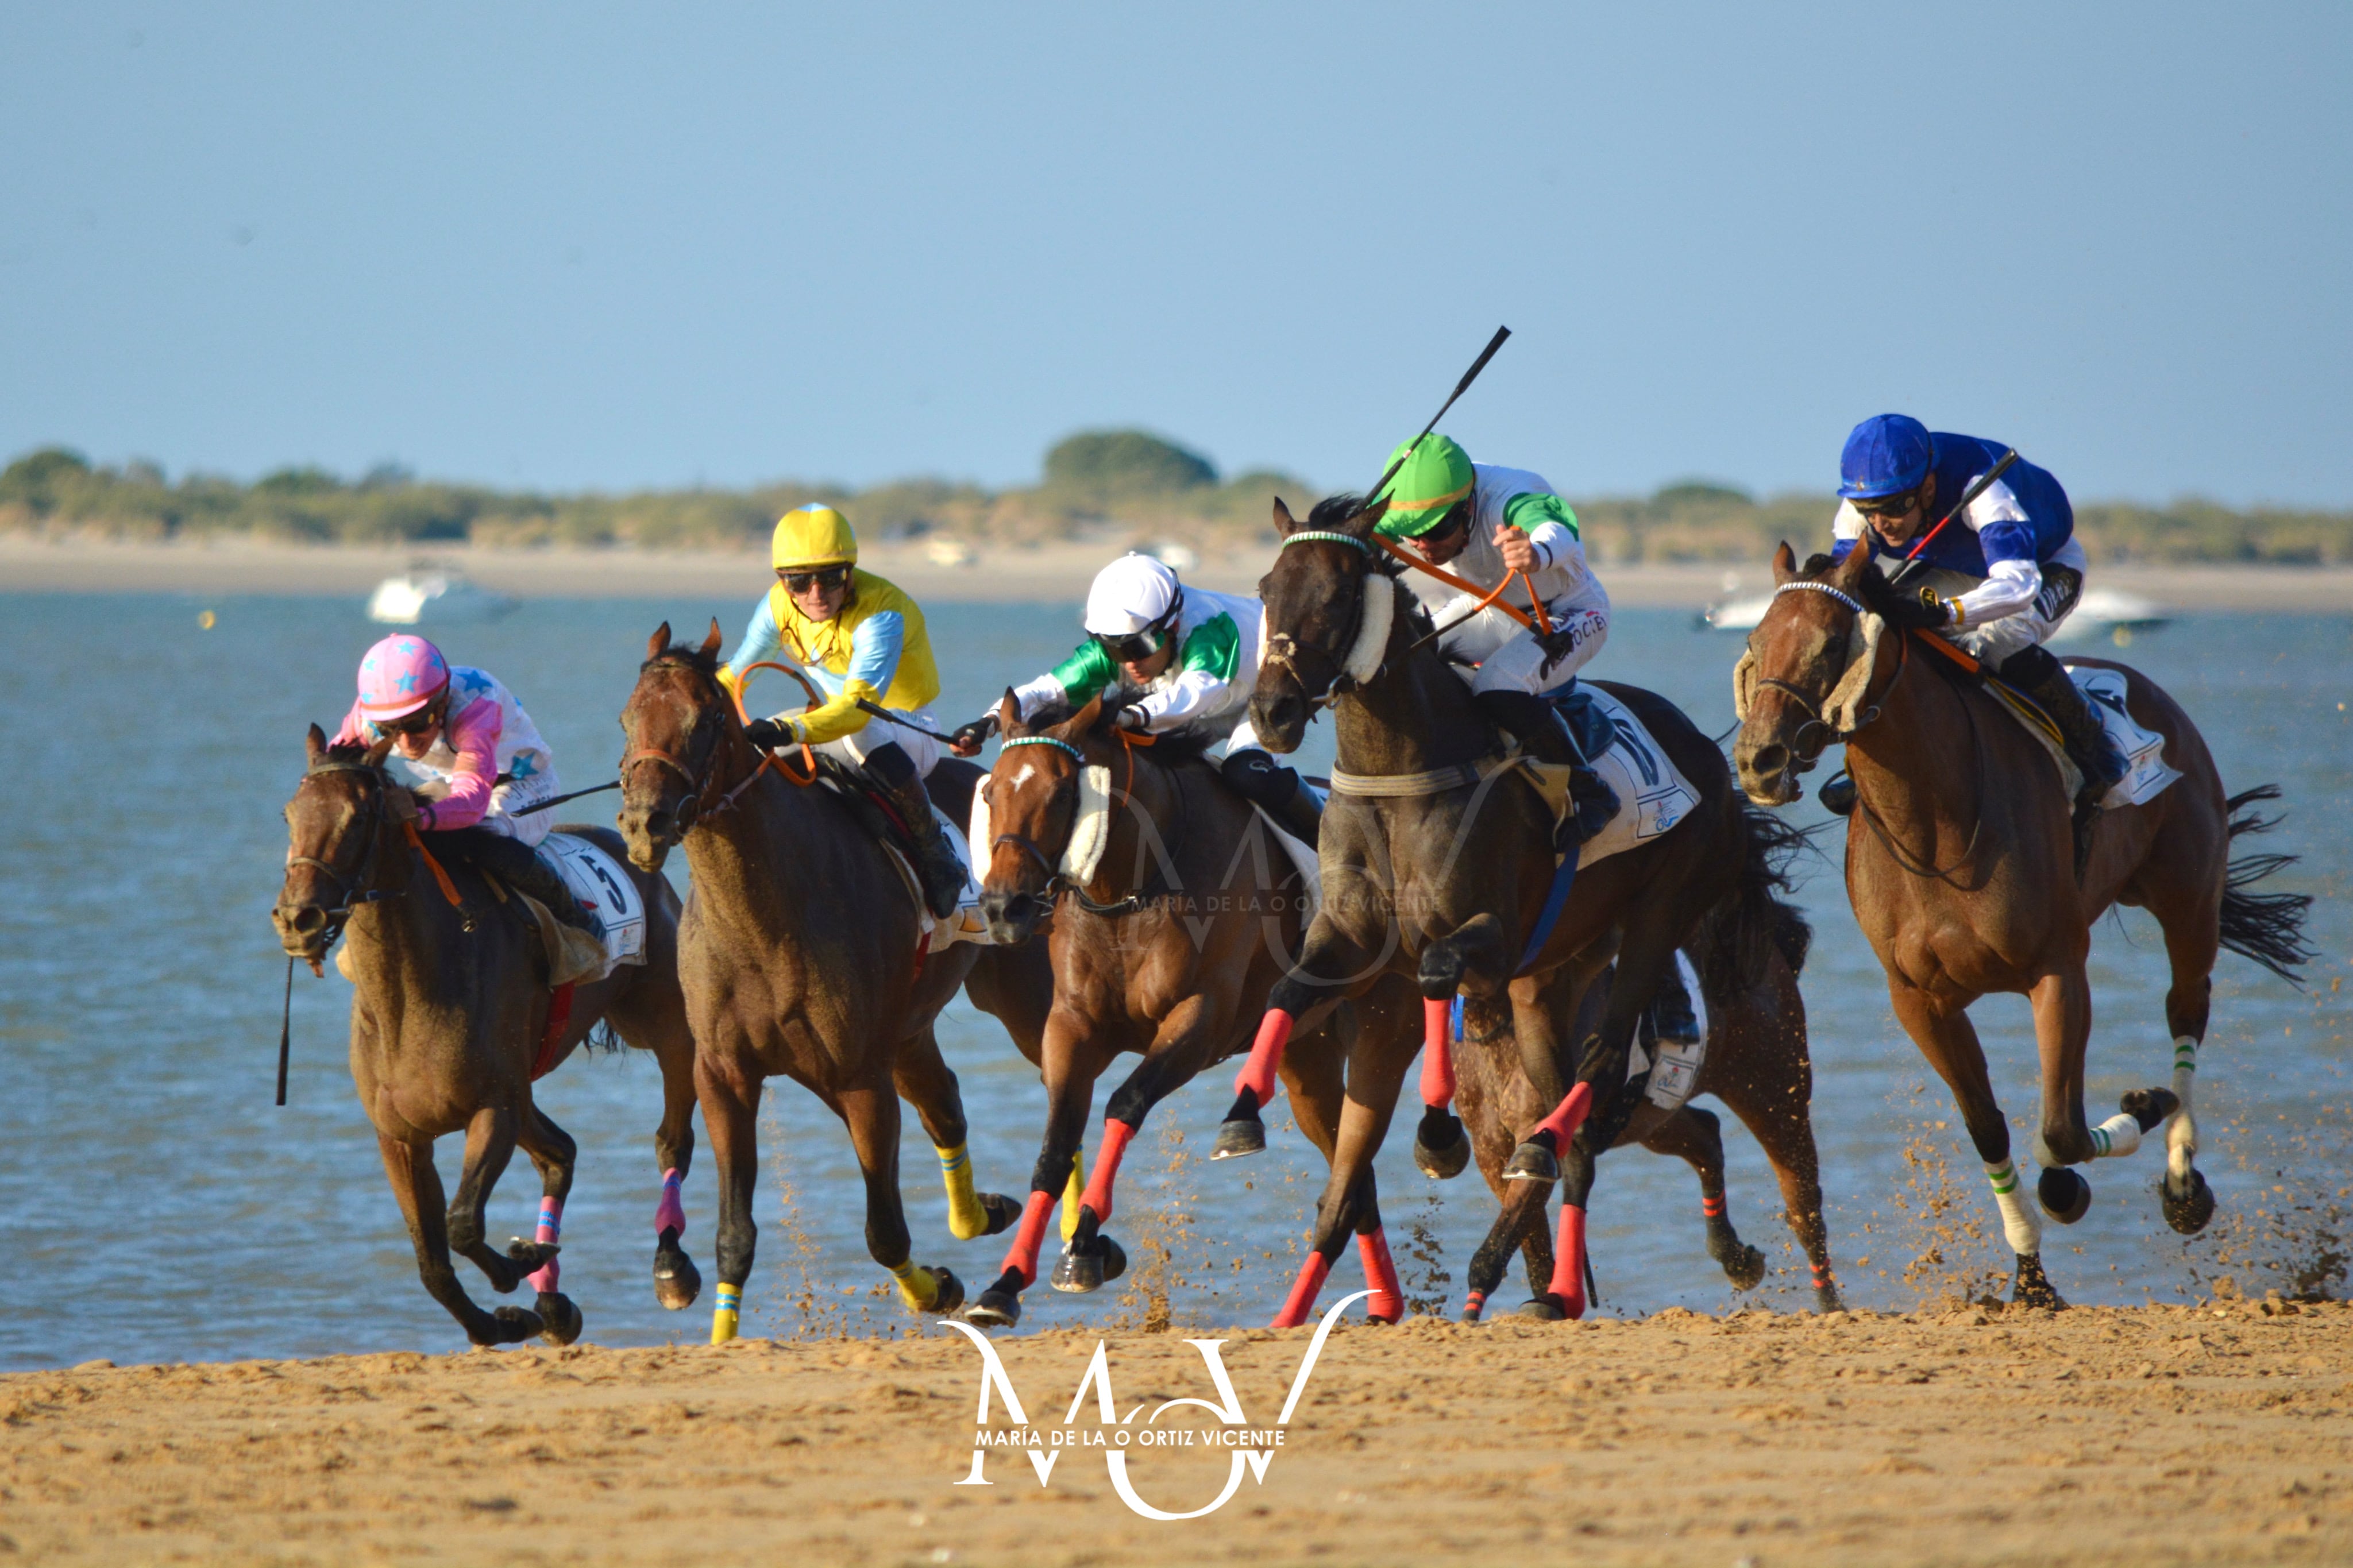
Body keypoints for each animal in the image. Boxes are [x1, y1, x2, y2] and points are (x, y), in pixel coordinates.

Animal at [272, 727, 703, 1346]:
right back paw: (552, 1303)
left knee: (672, 1138)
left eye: (356, 819)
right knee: (560, 1152)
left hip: (664, 1026)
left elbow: (461, 1224)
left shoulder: (492, 1107)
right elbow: (432, 1262)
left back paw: (669, 1266)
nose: (297, 919)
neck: (413, 993)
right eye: (290, 815)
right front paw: (503, 1318)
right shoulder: (401, 1137)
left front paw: (516, 1270)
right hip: (527, 1087)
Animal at [616, 621, 1030, 1339]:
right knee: (944, 1105)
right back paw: (981, 1213)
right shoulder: (723, 1072)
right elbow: (735, 1236)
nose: (645, 824)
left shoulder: (859, 1077)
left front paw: (936, 1288)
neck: (765, 921)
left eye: (705, 720)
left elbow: (885, 1232)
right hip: (908, 1032)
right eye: (626, 718)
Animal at [965, 692, 1425, 1328]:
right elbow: (1055, 1147)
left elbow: (1126, 1102)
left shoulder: (1200, 1018)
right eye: (991, 793)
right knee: (1355, 1179)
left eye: (1061, 793)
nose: (1002, 907)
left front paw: (1083, 1247)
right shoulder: (1072, 1027)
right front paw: (1004, 1284)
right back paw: (1378, 1304)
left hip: (1385, 1035)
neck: (1130, 891)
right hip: (1306, 1058)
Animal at [1236, 493, 1835, 1318]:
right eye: (1266, 588)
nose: (1273, 711)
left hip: (1681, 945)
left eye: (1333, 595)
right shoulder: (1353, 936)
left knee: (1621, 1069)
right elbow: (1287, 993)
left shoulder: (1491, 934)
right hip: (1557, 976)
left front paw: (1436, 1135)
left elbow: (1436, 971)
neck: (1404, 771)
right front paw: (1240, 1115)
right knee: (1630, 1113)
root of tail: (1719, 764)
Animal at [1732, 542, 2312, 1307]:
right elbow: (1989, 1129)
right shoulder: (1918, 999)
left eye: (1832, 644)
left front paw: (2136, 1113)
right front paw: (2031, 1279)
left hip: (2188, 901)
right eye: (1755, 641)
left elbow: (2061, 1130)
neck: (1935, 829)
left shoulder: (2057, 970)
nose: (1757, 760)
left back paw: (2183, 1179)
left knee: (2186, 1007)